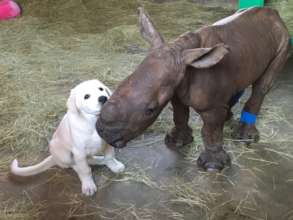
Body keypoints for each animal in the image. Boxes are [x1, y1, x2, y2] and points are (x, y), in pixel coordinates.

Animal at [96, 6, 290, 171]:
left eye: (150, 110)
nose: (103, 133)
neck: (180, 52)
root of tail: (275, 14)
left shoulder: (210, 107)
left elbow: (211, 129)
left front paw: (212, 166)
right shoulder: (175, 89)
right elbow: (180, 114)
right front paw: (176, 142)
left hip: (284, 39)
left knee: (262, 86)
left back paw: (245, 137)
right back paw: (228, 116)